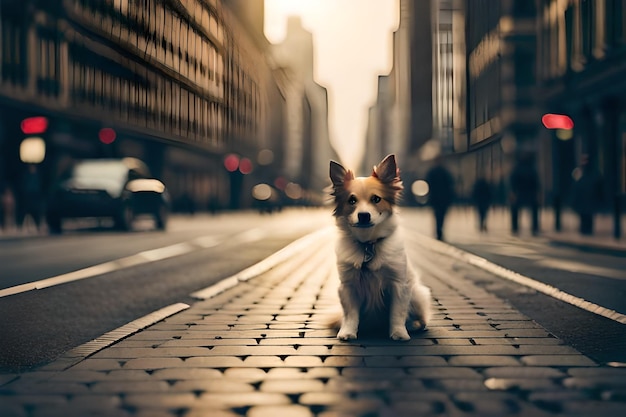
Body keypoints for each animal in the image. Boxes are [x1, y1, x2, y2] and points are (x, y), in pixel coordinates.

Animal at [326, 154, 428, 340]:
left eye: (376, 199)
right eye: (352, 200)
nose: (364, 215)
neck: (368, 244)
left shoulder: (399, 285)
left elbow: (397, 313)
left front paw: (399, 333)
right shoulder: (348, 286)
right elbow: (350, 314)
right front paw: (347, 332)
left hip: (417, 293)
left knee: (421, 318)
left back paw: (413, 325)